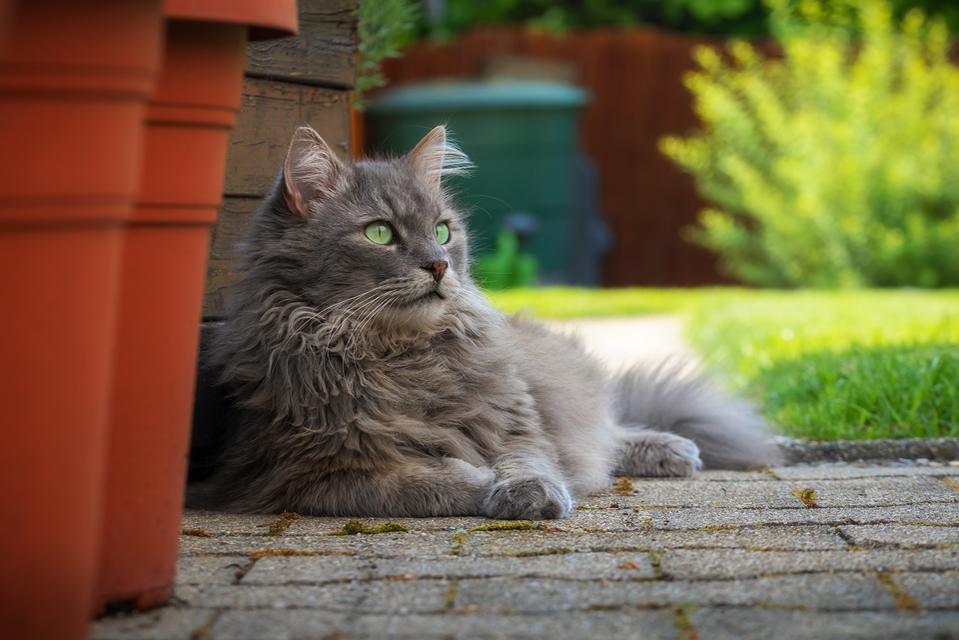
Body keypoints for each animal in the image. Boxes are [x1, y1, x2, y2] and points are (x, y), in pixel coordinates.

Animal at [188, 125, 780, 520]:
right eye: (379, 233)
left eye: (442, 231)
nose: (439, 265)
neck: (398, 355)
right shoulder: (311, 472)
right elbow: (424, 483)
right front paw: (479, 482)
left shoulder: (514, 420)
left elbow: (530, 461)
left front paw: (531, 492)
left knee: (610, 434)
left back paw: (675, 449)